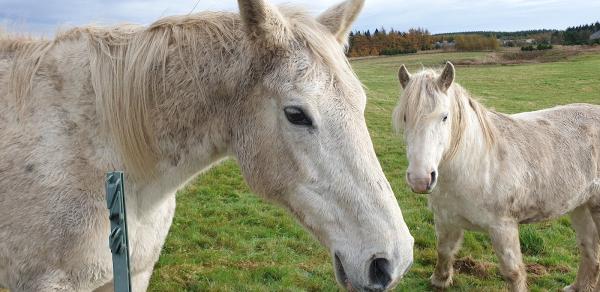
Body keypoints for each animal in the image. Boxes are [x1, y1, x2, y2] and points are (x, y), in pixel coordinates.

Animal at [394, 62, 600, 292]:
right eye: (405, 117)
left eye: (444, 116)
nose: (420, 180)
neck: (477, 165)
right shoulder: (446, 220)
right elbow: (444, 252)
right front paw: (440, 280)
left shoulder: (503, 228)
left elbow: (513, 273)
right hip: (581, 206)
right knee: (589, 249)